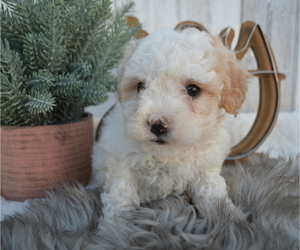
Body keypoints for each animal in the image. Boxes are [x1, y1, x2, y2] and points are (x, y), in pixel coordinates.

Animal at [92, 27, 248, 225]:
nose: (157, 125)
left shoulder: (206, 167)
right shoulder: (120, 163)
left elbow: (211, 192)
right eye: (140, 86)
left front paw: (228, 217)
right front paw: (113, 227)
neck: (168, 155)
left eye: (193, 90)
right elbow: (120, 196)